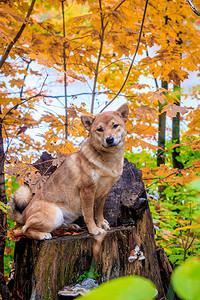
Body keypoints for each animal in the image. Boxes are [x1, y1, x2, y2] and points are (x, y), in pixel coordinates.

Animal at [9, 104, 129, 240]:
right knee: (24, 230)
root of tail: (24, 214)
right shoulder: (87, 190)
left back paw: (71, 227)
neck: (109, 160)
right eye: (99, 129)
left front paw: (101, 223)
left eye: (115, 125)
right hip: (55, 215)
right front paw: (94, 230)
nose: (109, 139)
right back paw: (43, 235)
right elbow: (89, 214)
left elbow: (99, 211)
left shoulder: (105, 190)